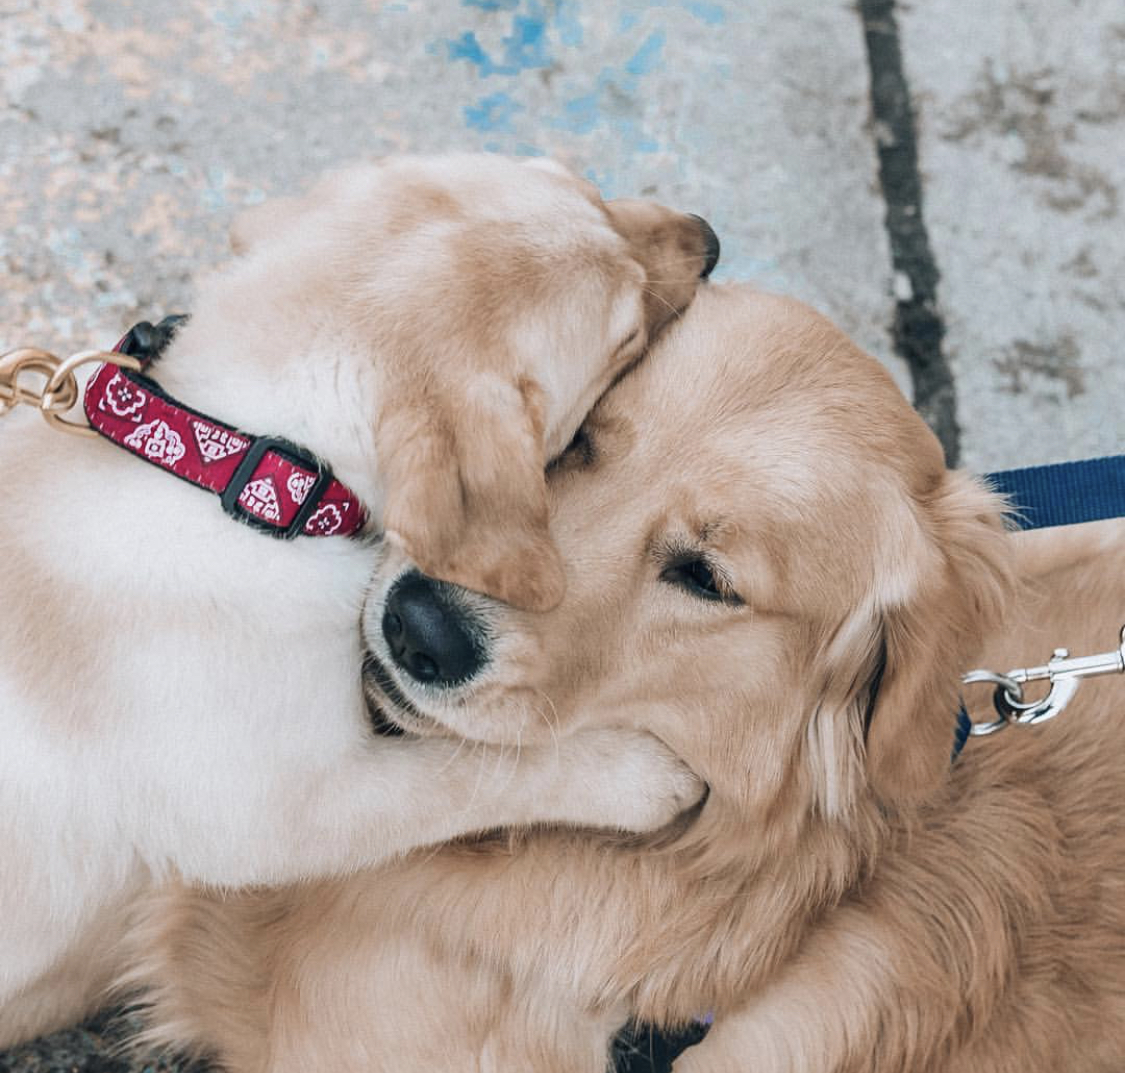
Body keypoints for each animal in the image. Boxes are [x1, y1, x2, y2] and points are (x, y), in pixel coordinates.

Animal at [0, 155, 715, 1039]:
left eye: (585, 186)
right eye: (625, 336)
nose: (710, 238)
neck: (228, 455)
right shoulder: (279, 815)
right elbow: (472, 772)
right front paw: (636, 774)